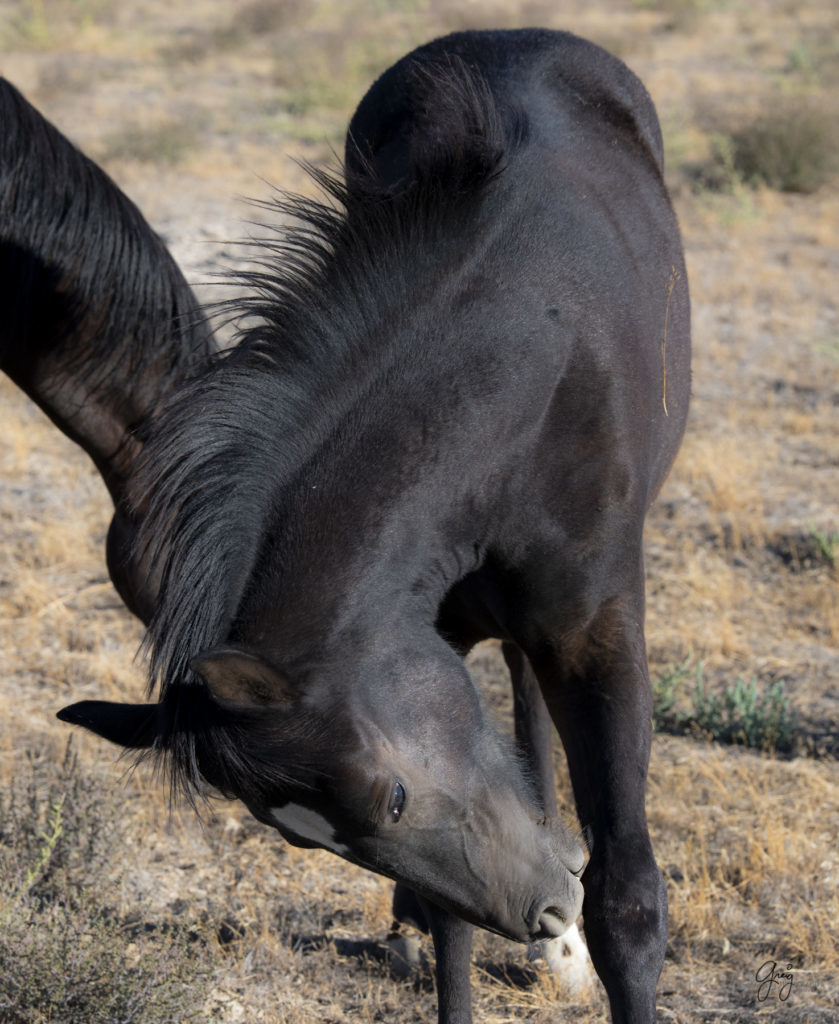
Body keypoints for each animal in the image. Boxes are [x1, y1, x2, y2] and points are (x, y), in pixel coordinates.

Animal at [57, 29, 688, 1024]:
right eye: (315, 842)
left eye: (391, 797)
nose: (543, 909)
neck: (520, 376)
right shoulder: (434, 635)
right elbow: (450, 917)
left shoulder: (596, 631)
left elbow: (628, 899)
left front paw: (584, 933)